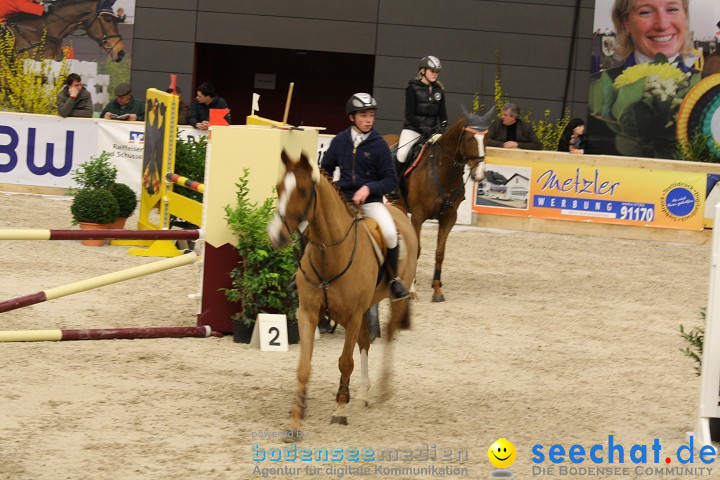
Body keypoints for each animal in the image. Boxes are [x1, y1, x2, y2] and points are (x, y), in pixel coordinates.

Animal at [268, 151, 416, 436]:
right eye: (279, 187)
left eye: (303, 191)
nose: (275, 236)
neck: (331, 253)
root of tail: (399, 211)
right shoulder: (308, 314)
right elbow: (304, 366)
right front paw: (297, 418)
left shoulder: (353, 314)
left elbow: (345, 362)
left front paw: (339, 410)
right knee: (366, 341)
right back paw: (362, 394)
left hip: (390, 301)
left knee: (388, 333)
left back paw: (381, 389)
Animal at [382, 110, 496, 302]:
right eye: (469, 138)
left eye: (486, 139)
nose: (480, 174)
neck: (444, 170)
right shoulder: (418, 216)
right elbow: (417, 249)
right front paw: (412, 290)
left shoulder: (449, 218)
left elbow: (440, 253)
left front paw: (437, 289)